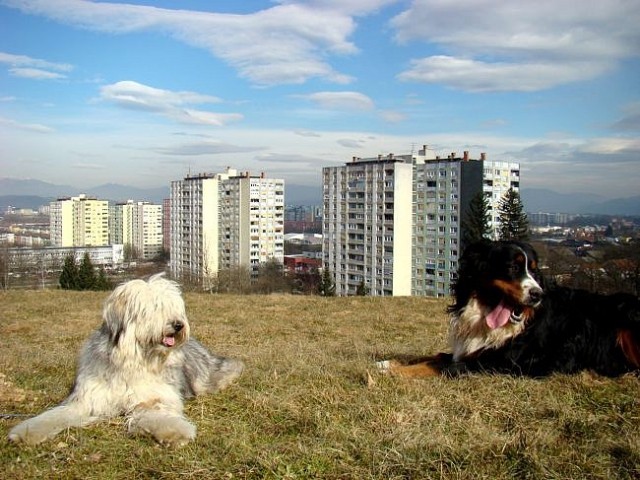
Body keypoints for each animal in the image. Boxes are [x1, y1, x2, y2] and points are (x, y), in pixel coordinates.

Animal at [7, 274, 242, 446]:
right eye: (154, 308)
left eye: (174, 308)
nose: (178, 325)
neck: (134, 360)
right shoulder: (88, 397)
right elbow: (55, 415)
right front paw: (25, 432)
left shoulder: (152, 397)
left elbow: (157, 413)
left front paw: (176, 432)